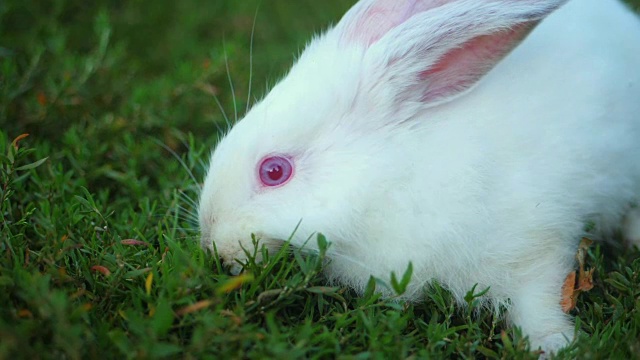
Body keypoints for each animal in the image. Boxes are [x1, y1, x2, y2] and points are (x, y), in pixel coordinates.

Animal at [199, 0, 640, 354]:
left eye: (274, 171)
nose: (213, 243)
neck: (393, 176)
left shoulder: (538, 245)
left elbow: (539, 299)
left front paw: (556, 344)